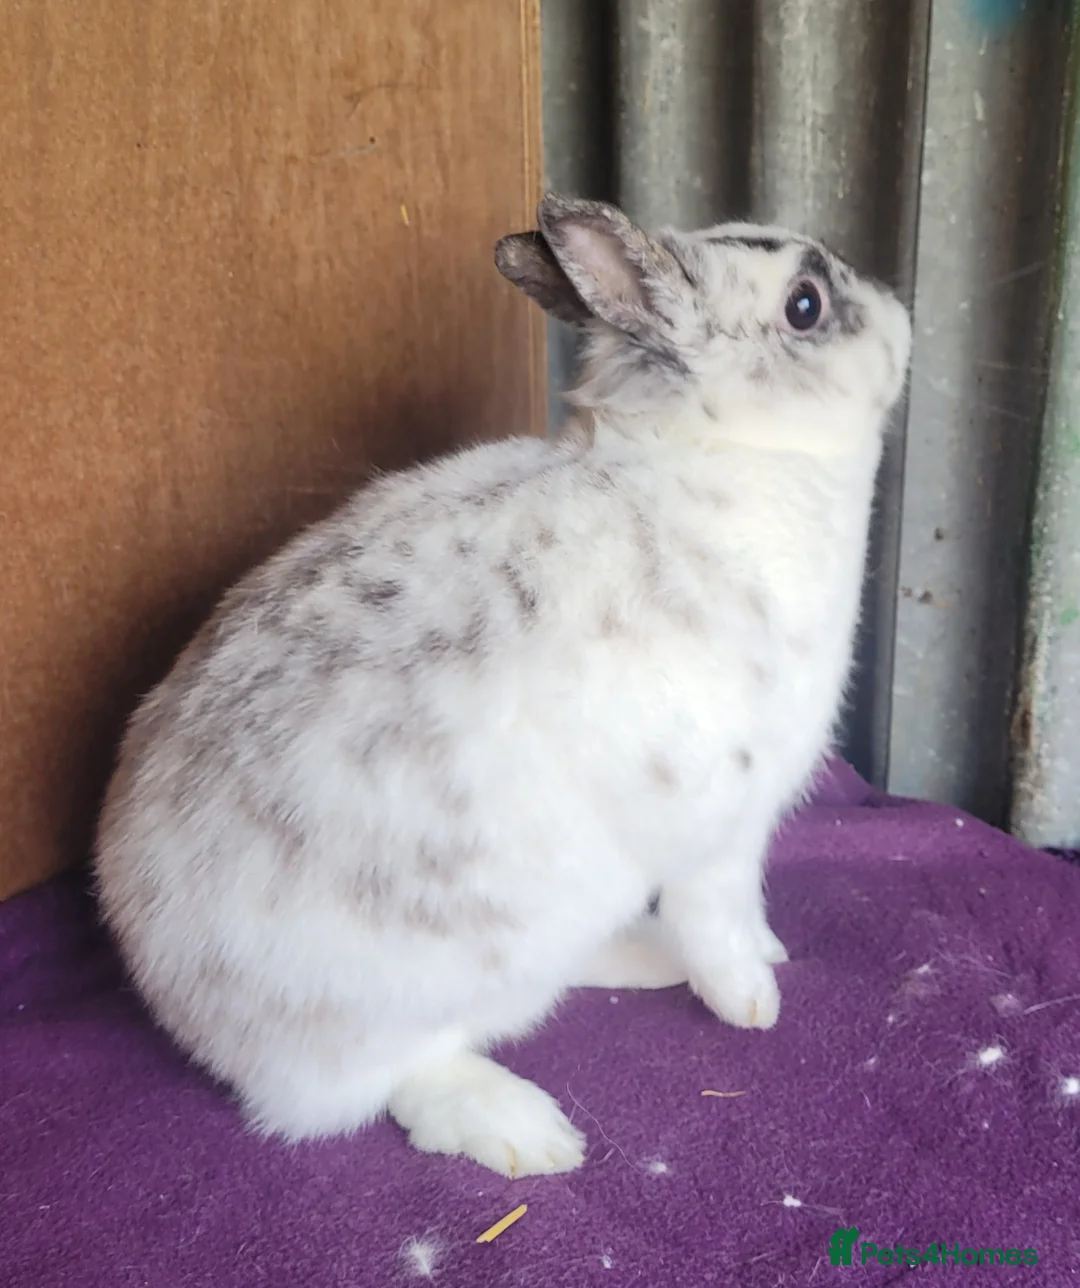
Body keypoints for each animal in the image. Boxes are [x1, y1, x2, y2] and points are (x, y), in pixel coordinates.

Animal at [94, 193, 911, 1179]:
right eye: (804, 305)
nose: (903, 317)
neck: (713, 456)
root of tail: (173, 999)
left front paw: (772, 956)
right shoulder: (718, 830)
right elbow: (719, 915)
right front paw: (753, 999)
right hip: (405, 1001)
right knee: (386, 1084)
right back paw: (529, 1130)